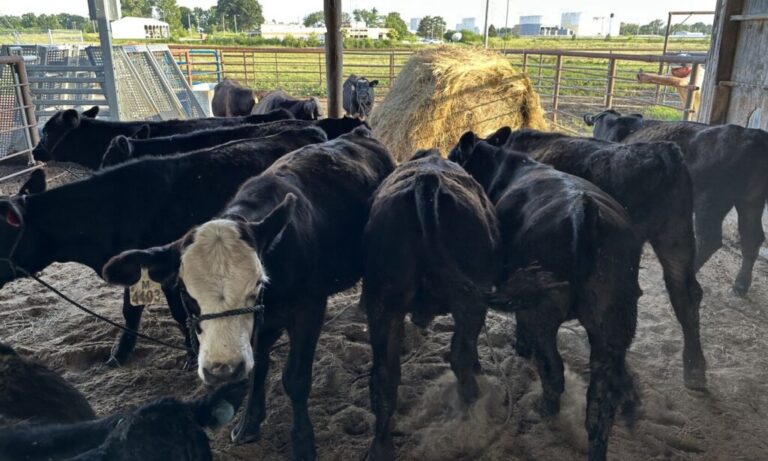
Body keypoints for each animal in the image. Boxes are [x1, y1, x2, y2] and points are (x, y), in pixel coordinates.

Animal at [101, 127, 397, 460]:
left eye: (258, 284)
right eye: (186, 294)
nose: (222, 369)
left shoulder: (309, 308)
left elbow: (295, 378)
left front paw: (303, 443)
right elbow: (259, 367)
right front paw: (248, 424)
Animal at [450, 134, 643, 461]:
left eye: (453, 156)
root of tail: (584, 210)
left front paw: (520, 348)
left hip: (542, 310)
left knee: (553, 370)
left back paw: (542, 408)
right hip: (613, 320)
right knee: (601, 401)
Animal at [584, 109, 768, 297]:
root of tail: (752, 134)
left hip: (711, 202)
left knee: (710, 240)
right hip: (751, 201)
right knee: (752, 238)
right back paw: (740, 285)